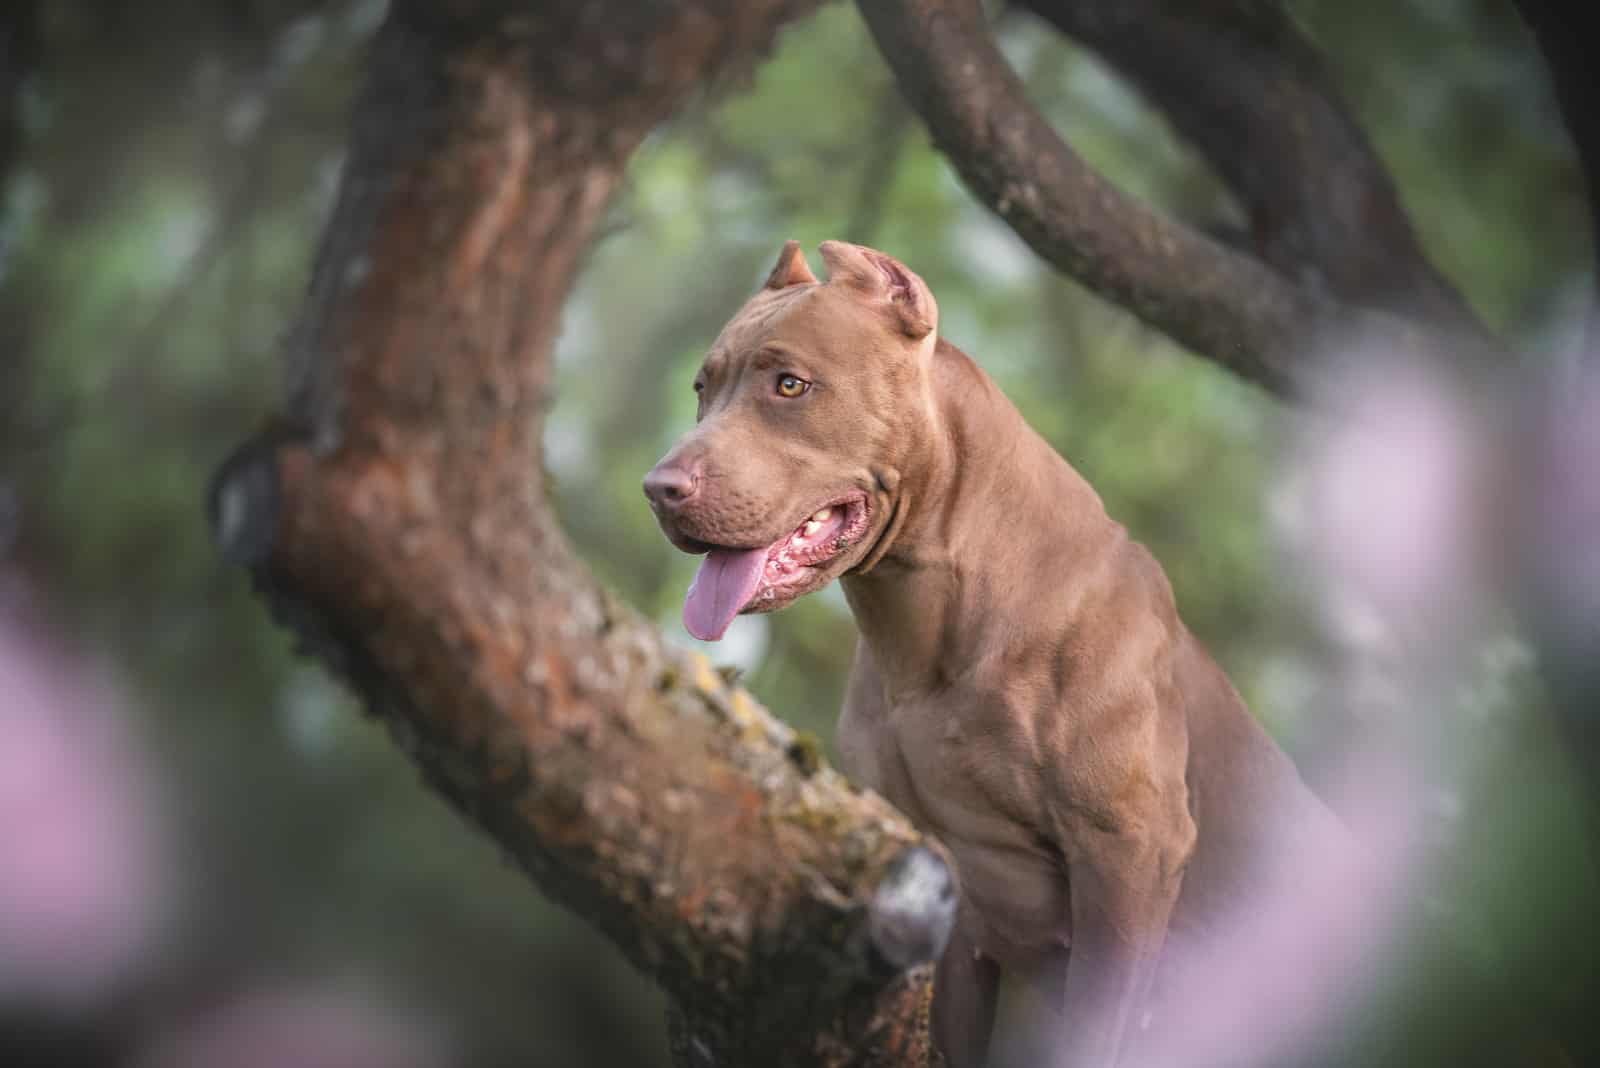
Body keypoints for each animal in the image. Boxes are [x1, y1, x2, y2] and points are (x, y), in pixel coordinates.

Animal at [643, 241, 1344, 1068]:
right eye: (703, 389)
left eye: (789, 384)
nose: (659, 488)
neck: (928, 628)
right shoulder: (942, 904)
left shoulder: (1129, 855)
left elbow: (1096, 1031)